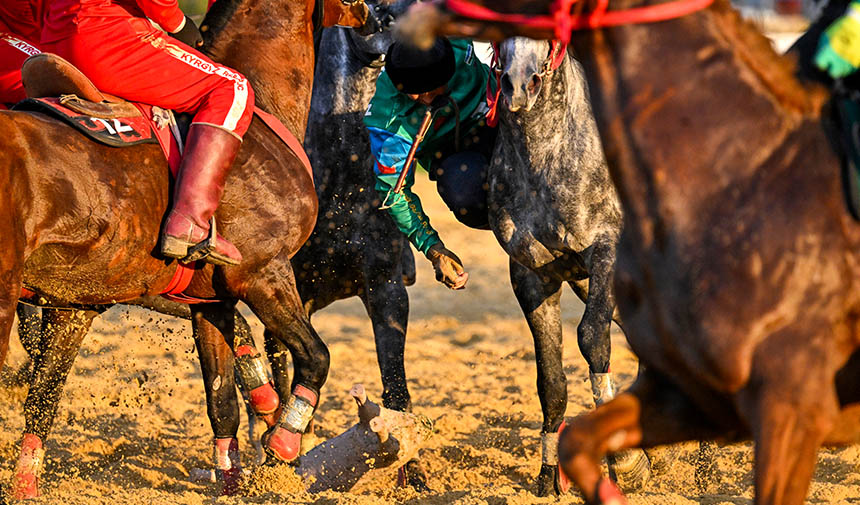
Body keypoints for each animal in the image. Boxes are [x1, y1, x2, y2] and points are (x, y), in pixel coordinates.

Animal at [3, 0, 372, 496]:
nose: (376, 19)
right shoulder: (264, 275)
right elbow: (315, 356)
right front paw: (284, 441)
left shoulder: (199, 303)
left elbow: (221, 400)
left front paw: (234, 477)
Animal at [402, 0, 860, 502]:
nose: (521, 86)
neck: (548, 160)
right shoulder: (531, 275)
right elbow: (551, 379)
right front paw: (548, 474)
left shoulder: (606, 254)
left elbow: (592, 341)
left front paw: (628, 462)